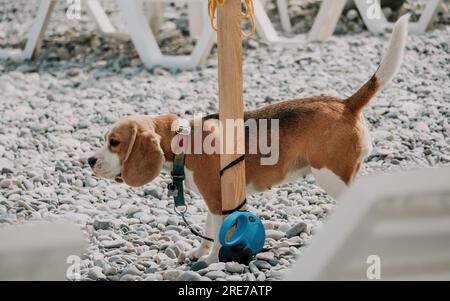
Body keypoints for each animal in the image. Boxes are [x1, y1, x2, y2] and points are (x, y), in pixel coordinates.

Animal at [89, 15, 412, 262]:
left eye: (114, 142)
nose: (89, 160)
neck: (184, 142)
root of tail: (345, 104)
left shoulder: (219, 200)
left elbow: (220, 235)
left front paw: (211, 262)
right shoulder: (214, 200)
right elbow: (209, 230)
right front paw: (198, 253)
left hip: (330, 175)